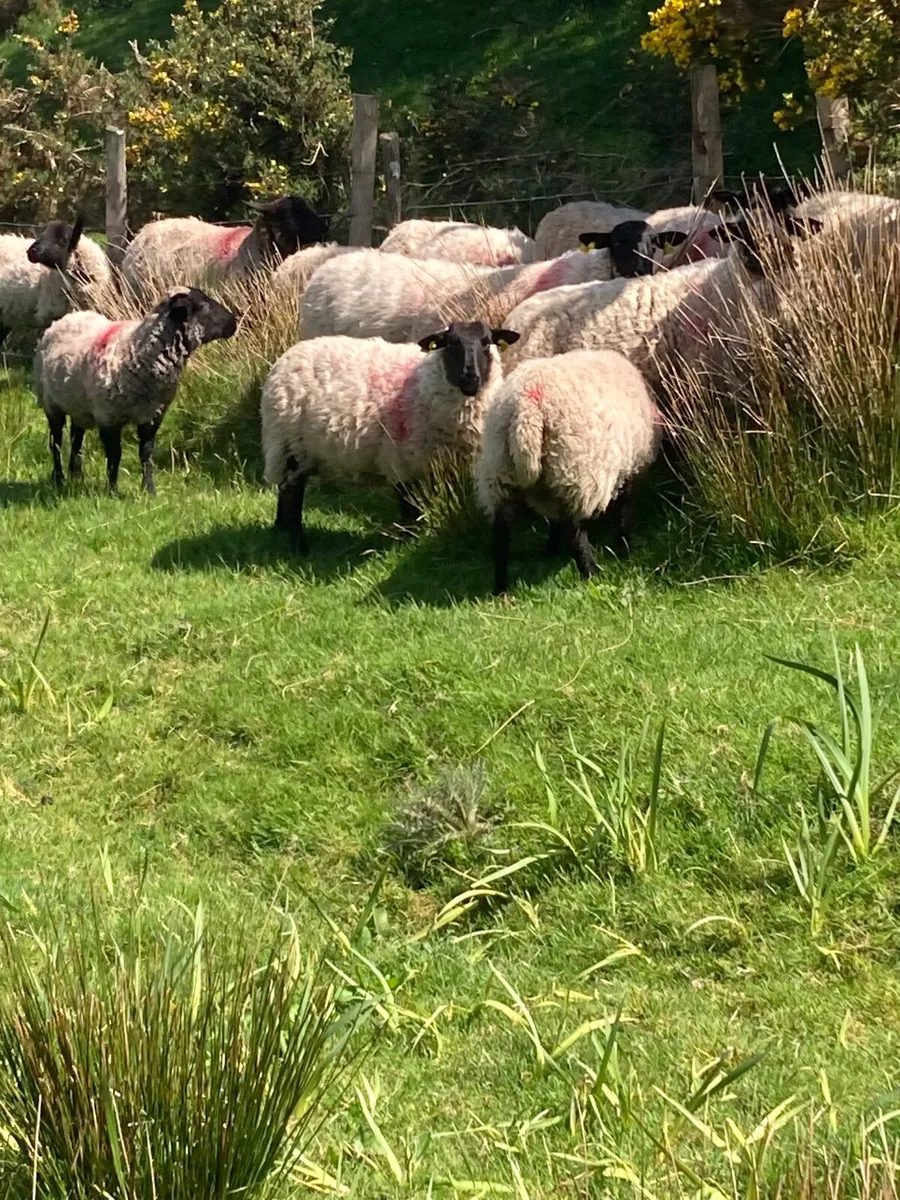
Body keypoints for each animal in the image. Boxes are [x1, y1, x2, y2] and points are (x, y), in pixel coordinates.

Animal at [33, 286, 237, 494]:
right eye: (203, 304)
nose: (234, 322)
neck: (137, 352)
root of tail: (69, 317)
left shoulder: (152, 416)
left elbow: (146, 454)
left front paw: (149, 489)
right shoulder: (109, 417)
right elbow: (115, 456)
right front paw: (113, 491)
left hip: (79, 406)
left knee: (76, 437)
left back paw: (76, 476)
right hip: (51, 404)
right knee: (56, 442)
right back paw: (59, 478)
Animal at [261, 319, 519, 551]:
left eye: (487, 343)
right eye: (451, 344)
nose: (470, 377)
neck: (424, 384)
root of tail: (286, 359)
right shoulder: (403, 460)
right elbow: (409, 506)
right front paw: (408, 540)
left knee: (286, 491)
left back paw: (280, 530)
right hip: (290, 446)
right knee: (292, 493)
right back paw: (297, 544)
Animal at [476, 349, 662, 594]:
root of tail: (527, 410)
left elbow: (553, 521)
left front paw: (551, 549)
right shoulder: (627, 469)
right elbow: (624, 510)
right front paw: (624, 548)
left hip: (499, 476)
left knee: (500, 537)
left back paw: (501, 589)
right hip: (577, 476)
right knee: (576, 537)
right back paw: (592, 575)